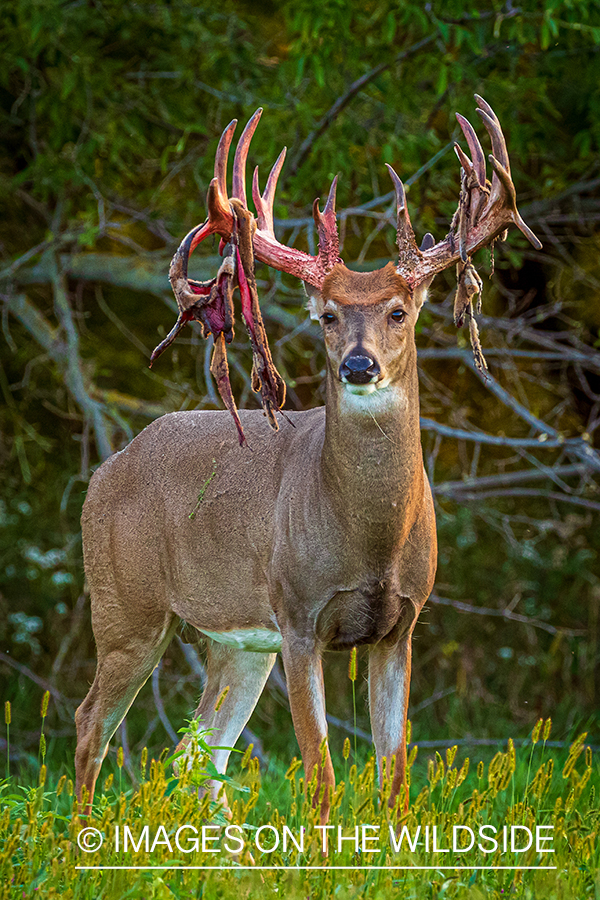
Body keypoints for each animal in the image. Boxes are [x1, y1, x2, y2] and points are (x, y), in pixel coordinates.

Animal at [74, 96, 540, 824]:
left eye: (400, 312)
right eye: (326, 316)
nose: (359, 365)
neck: (367, 538)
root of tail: (106, 469)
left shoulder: (402, 625)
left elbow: (393, 776)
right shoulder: (298, 618)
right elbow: (321, 776)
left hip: (235, 640)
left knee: (197, 752)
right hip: (128, 604)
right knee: (92, 723)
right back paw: (79, 837)